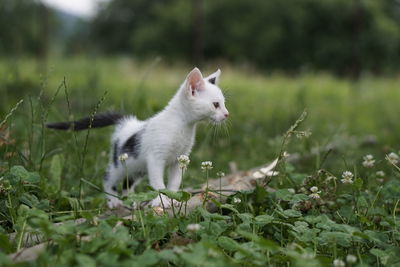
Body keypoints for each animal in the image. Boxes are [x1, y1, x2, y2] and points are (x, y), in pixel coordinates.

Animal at [47, 67, 228, 209]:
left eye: (224, 103)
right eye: (216, 104)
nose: (227, 114)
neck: (183, 126)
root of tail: (126, 122)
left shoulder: (180, 158)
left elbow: (174, 182)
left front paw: (173, 199)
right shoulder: (155, 158)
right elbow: (158, 183)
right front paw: (161, 201)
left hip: (137, 168)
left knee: (127, 185)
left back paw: (131, 201)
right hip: (119, 164)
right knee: (107, 179)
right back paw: (113, 201)